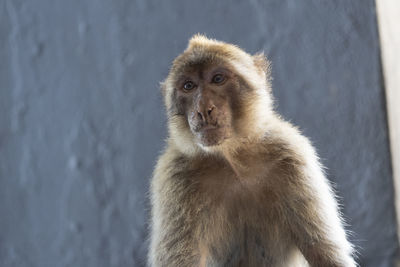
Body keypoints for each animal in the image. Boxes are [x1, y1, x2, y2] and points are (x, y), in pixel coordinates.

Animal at [148, 34, 354, 266]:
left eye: (217, 79)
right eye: (189, 86)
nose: (202, 109)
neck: (232, 159)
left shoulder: (291, 155)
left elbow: (324, 253)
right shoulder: (174, 176)